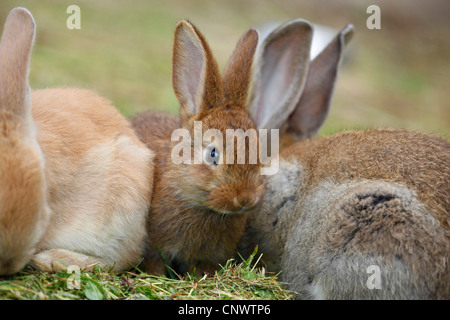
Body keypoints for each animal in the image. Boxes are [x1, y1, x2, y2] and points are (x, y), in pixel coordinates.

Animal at [130, 19, 312, 276]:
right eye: (213, 153)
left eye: (258, 151)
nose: (244, 198)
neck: (204, 208)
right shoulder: (154, 247)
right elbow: (155, 265)